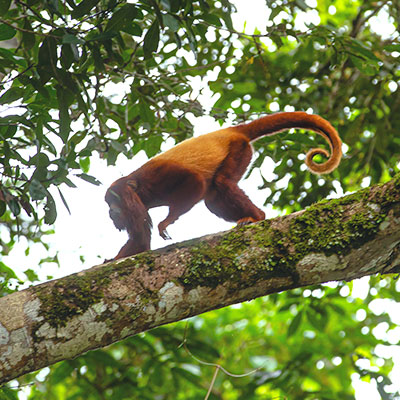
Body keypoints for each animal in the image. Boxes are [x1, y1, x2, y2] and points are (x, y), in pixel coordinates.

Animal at [105, 111, 340, 260]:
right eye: (108, 204)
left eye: (113, 201)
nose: (110, 212)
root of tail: (232, 131)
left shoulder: (150, 180)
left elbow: (194, 181)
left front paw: (167, 221)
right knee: (214, 200)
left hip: (238, 149)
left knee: (222, 183)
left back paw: (257, 216)